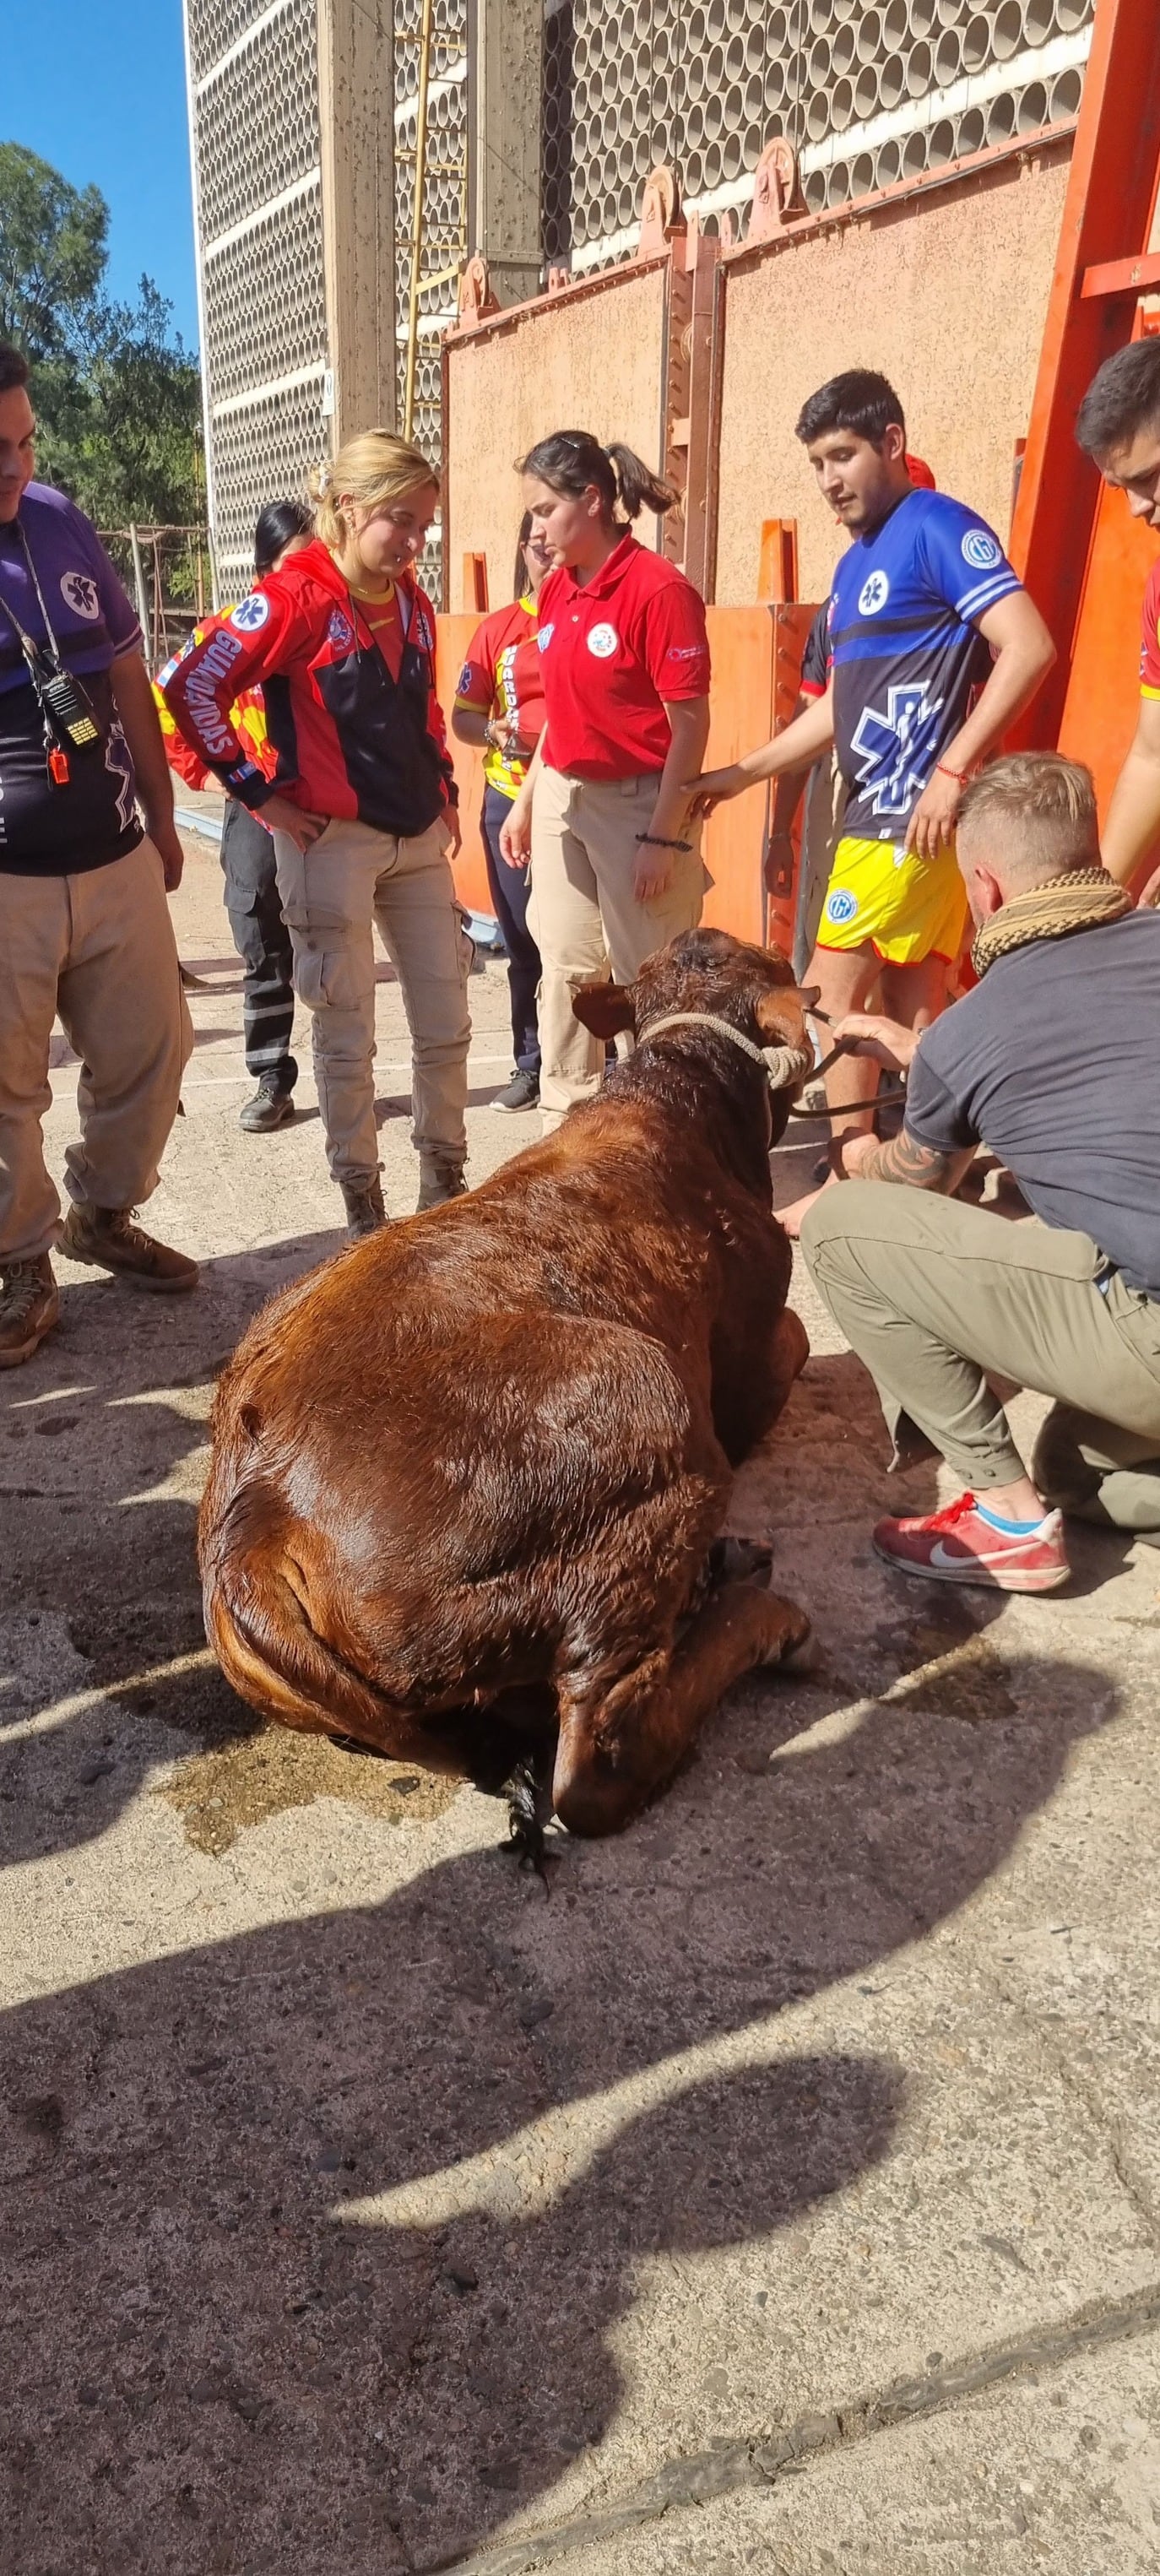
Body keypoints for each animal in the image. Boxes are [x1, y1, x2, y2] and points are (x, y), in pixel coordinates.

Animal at [199, 937, 814, 1844]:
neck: (679, 1094)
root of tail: (256, 1518)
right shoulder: (752, 1351)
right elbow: (800, 1341)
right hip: (656, 1406)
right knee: (595, 1759)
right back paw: (762, 1618)